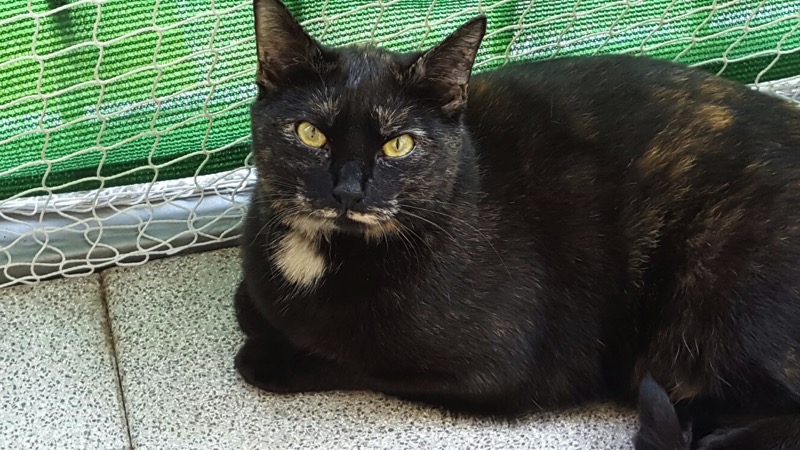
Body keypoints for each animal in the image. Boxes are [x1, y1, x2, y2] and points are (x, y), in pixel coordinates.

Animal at [234, 0, 800, 448]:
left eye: (399, 144)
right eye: (310, 133)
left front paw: (272, 357)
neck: (320, 255)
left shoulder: (498, 370)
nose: (348, 190)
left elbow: (358, 359)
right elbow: (248, 302)